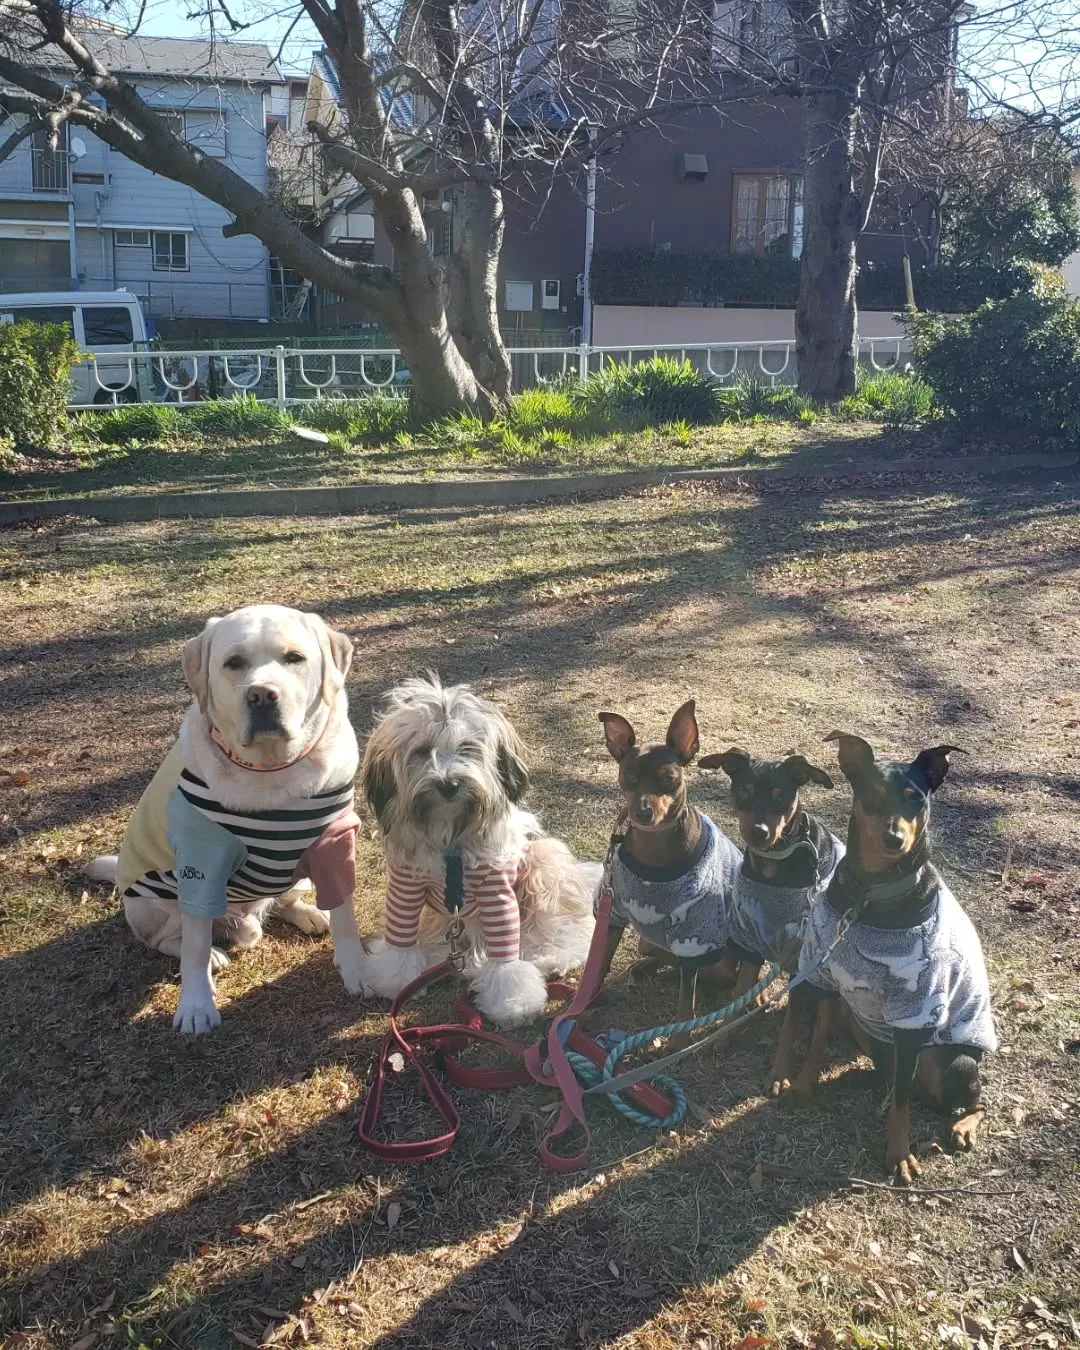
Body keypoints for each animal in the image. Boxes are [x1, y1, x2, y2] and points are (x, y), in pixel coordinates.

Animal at [361, 675, 599, 1020]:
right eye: (422, 751)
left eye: (467, 748)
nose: (449, 784)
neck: (451, 839)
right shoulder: (406, 888)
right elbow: (400, 942)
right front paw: (396, 980)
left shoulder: (497, 892)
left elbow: (506, 959)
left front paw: (512, 1000)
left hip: (541, 862)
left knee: (560, 927)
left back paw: (551, 958)